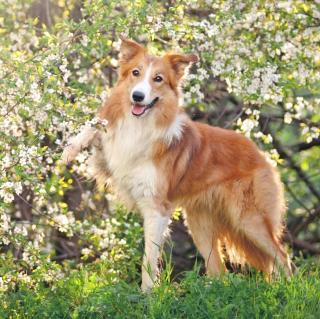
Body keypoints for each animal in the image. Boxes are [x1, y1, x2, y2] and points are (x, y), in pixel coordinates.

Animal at [62, 35, 292, 292]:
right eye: (135, 73)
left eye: (158, 79)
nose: (137, 96)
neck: (140, 125)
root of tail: (261, 154)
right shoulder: (111, 156)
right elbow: (95, 124)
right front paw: (70, 149)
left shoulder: (156, 207)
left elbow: (149, 259)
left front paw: (147, 294)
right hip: (200, 225)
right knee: (219, 270)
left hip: (249, 219)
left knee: (282, 256)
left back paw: (286, 290)